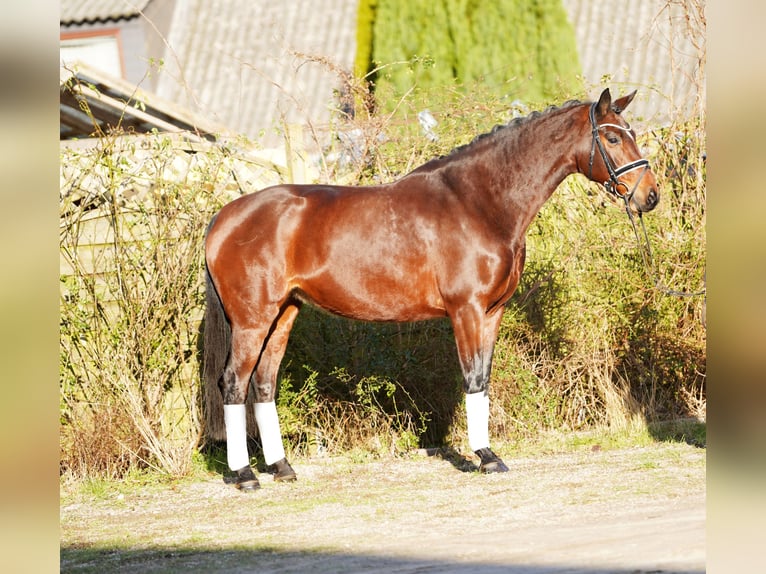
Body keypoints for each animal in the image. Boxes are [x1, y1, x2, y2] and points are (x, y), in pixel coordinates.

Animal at [202, 89, 660, 490]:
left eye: (633, 131)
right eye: (613, 137)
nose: (650, 196)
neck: (479, 202)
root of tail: (224, 217)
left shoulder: (492, 312)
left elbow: (484, 379)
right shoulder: (466, 310)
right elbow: (472, 379)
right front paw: (486, 457)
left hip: (283, 314)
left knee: (263, 384)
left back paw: (281, 467)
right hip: (252, 321)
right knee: (234, 383)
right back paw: (244, 475)